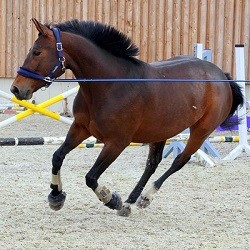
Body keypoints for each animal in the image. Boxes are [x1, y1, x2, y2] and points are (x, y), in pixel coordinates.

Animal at [10, 18, 242, 216]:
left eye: (37, 52)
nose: (16, 89)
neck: (109, 85)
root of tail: (221, 76)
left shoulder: (117, 142)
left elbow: (91, 177)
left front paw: (110, 199)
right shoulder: (80, 128)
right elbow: (57, 156)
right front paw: (56, 196)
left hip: (200, 131)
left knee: (179, 161)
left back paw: (144, 198)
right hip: (160, 131)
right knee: (152, 163)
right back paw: (131, 202)